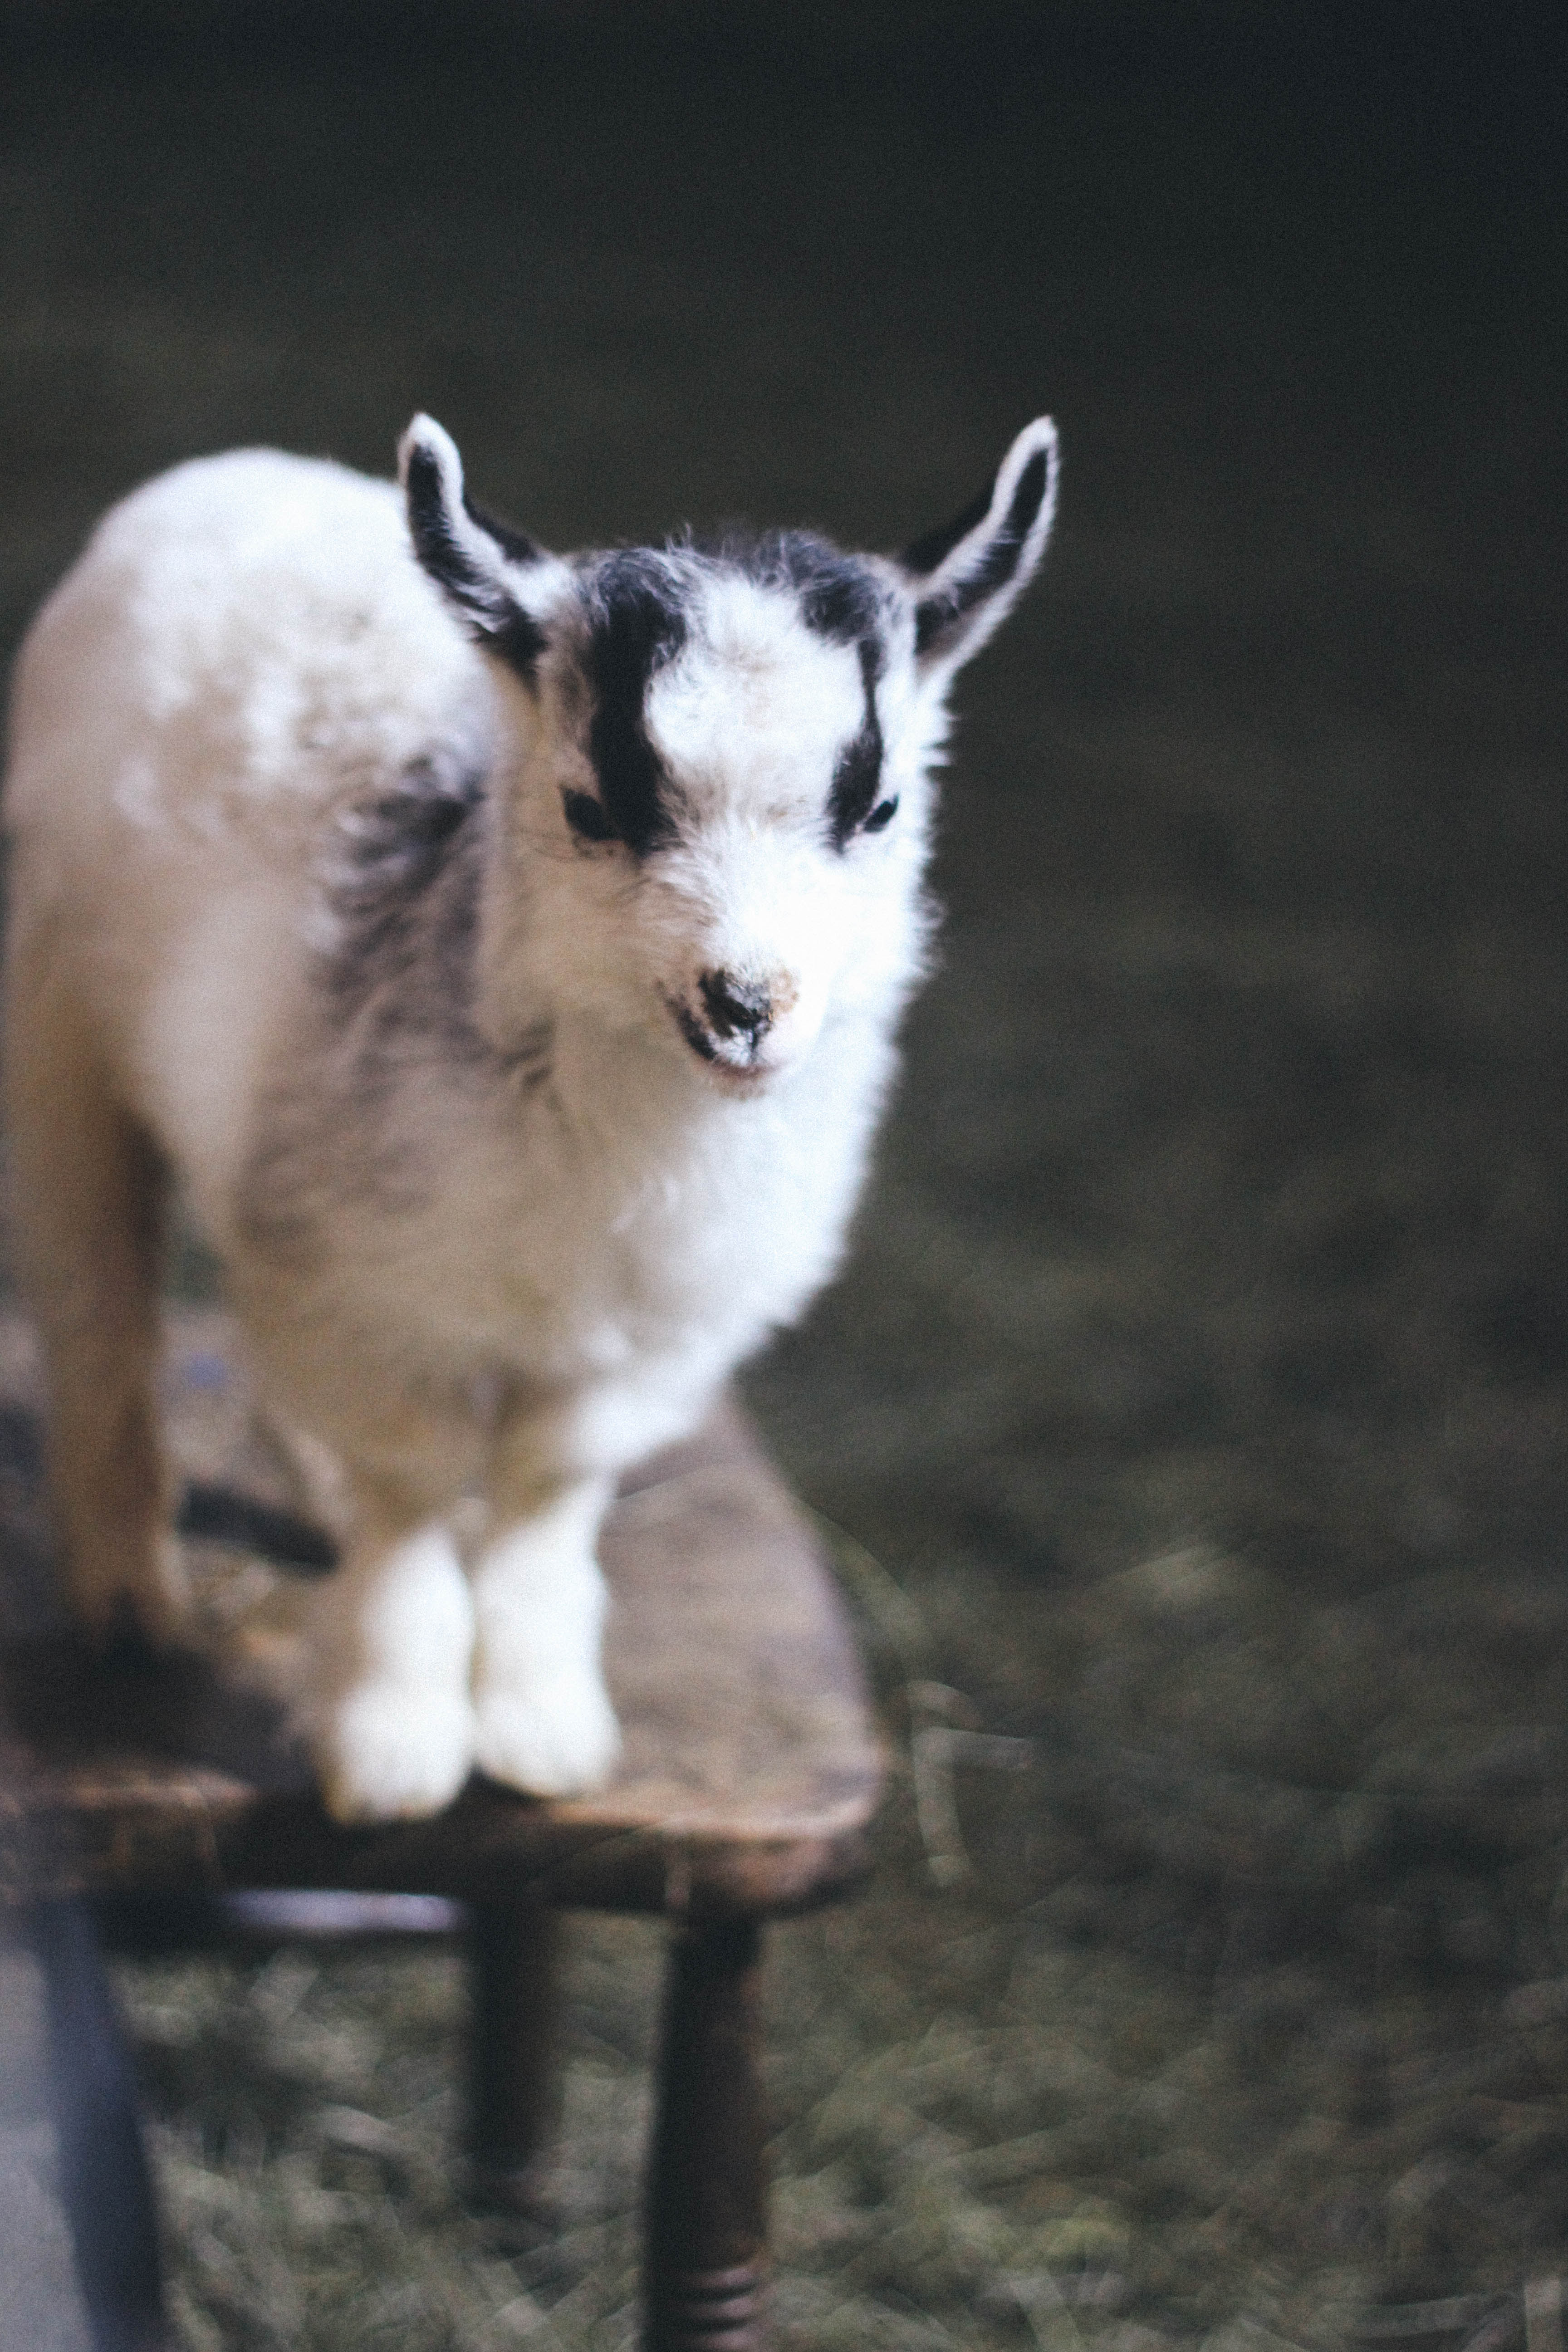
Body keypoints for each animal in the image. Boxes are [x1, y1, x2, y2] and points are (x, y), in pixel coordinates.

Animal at [1, 412, 1059, 1824]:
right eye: (592, 809)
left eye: (878, 809)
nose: (744, 1004)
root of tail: (224, 474)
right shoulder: (357, 1288)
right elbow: (408, 1490)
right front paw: (393, 1749)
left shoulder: (633, 1339)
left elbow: (544, 1493)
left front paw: (541, 1731)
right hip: (58, 1027)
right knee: (97, 1309)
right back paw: (127, 1602)